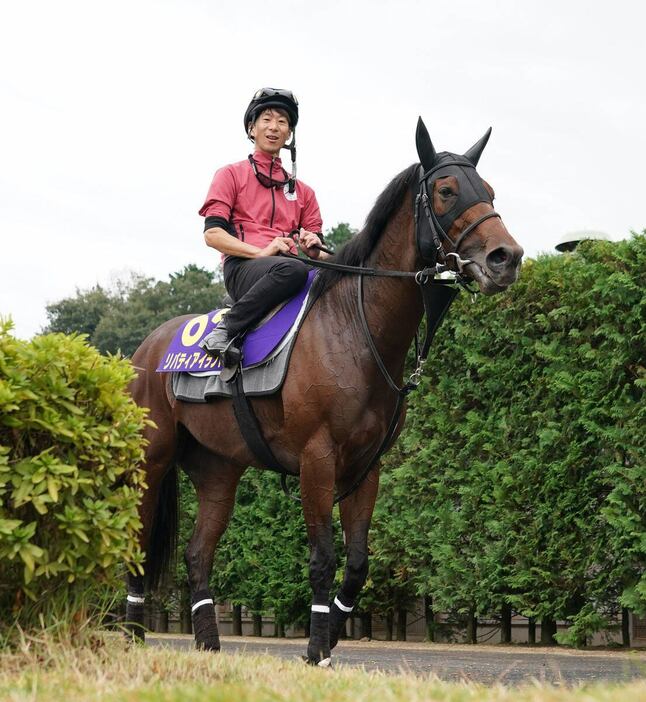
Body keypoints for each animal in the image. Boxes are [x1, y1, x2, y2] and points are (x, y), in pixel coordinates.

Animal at [126, 119, 528, 664]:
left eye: (488, 191)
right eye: (446, 190)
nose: (507, 257)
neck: (356, 329)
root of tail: (147, 347)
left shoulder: (364, 467)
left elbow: (357, 563)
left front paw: (333, 633)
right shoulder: (317, 461)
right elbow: (322, 558)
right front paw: (317, 648)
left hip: (218, 471)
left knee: (197, 553)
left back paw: (208, 642)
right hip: (152, 459)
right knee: (139, 543)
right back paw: (128, 634)